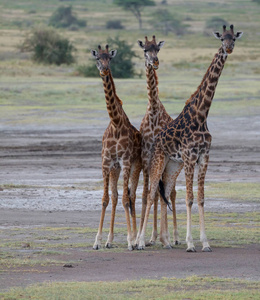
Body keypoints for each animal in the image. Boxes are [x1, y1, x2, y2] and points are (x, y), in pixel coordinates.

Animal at [137, 24, 243, 252]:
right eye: (222, 38)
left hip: (171, 165)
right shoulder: (189, 157)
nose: (229, 48)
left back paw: (164, 241)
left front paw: (205, 243)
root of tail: (156, 140)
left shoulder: (203, 157)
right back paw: (140, 242)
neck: (202, 115)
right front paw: (190, 243)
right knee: (151, 194)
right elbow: (189, 198)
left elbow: (201, 198)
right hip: (158, 160)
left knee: (165, 193)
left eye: (234, 38)